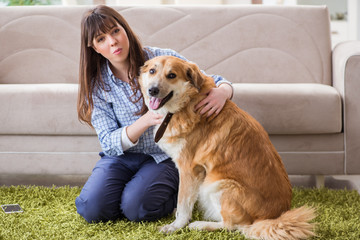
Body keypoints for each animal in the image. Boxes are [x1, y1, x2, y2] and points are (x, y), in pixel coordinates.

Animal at [138, 55, 316, 239]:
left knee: (235, 226)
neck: (188, 102)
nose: (152, 90)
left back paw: (200, 225)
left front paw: (175, 226)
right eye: (152, 71)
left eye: (172, 75)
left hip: (217, 185)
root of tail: (272, 217)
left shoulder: (189, 169)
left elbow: (183, 203)